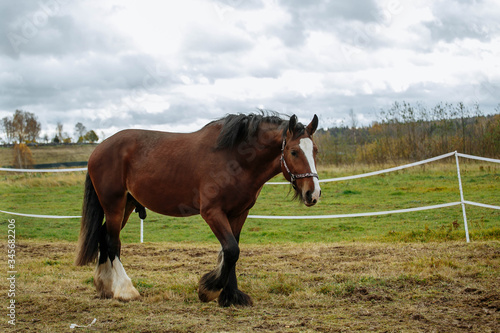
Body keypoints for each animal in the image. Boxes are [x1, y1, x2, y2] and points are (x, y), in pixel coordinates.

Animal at [76, 111, 322, 306]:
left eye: (315, 151)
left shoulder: (239, 213)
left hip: (126, 205)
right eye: (293, 152)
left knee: (103, 236)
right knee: (112, 242)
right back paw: (125, 290)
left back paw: (104, 286)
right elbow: (231, 250)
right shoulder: (212, 212)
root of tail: (98, 149)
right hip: (114, 204)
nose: (313, 193)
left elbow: (233, 251)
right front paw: (209, 289)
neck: (235, 159)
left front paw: (231, 296)